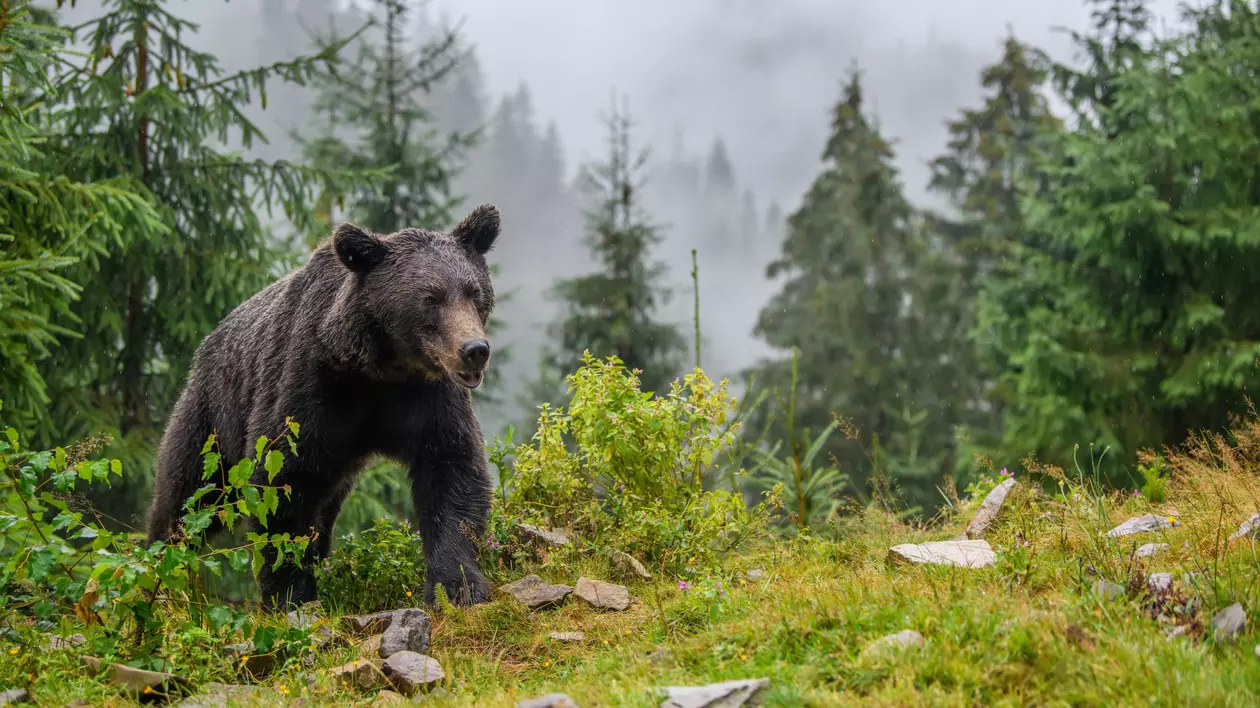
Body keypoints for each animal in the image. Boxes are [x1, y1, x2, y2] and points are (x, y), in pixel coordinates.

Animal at [146, 202, 501, 607]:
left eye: (474, 292)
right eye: (431, 298)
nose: (474, 350)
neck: (380, 369)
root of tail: (207, 344)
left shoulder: (427, 398)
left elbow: (451, 471)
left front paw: (457, 585)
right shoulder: (309, 389)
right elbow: (282, 482)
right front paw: (290, 593)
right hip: (213, 417)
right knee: (188, 495)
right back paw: (160, 571)